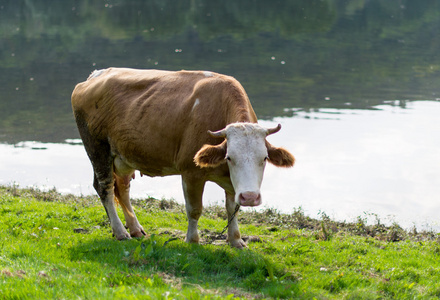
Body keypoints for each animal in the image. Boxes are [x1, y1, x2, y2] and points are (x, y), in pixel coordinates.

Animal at [70, 68, 294, 248]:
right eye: (230, 157)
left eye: (264, 158)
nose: (250, 197)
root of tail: (94, 76)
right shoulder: (190, 172)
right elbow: (194, 210)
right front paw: (192, 240)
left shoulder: (232, 182)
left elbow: (233, 208)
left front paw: (236, 240)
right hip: (97, 148)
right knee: (105, 188)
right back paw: (120, 232)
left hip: (124, 156)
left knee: (122, 187)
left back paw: (135, 229)